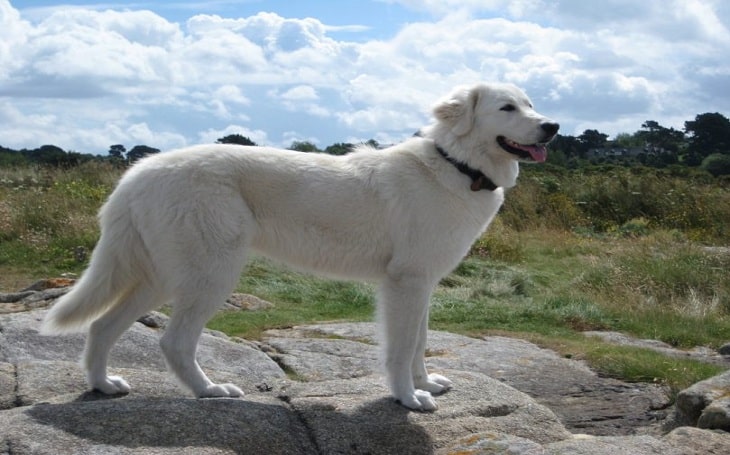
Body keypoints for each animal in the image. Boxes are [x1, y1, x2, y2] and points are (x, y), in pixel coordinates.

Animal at [41, 83, 556, 414]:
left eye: (530, 104)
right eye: (507, 108)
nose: (551, 125)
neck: (456, 165)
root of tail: (138, 172)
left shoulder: (422, 283)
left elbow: (420, 342)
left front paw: (425, 383)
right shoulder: (405, 283)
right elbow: (401, 347)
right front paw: (408, 399)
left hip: (158, 277)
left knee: (102, 326)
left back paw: (103, 386)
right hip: (208, 275)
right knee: (173, 341)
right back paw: (211, 391)